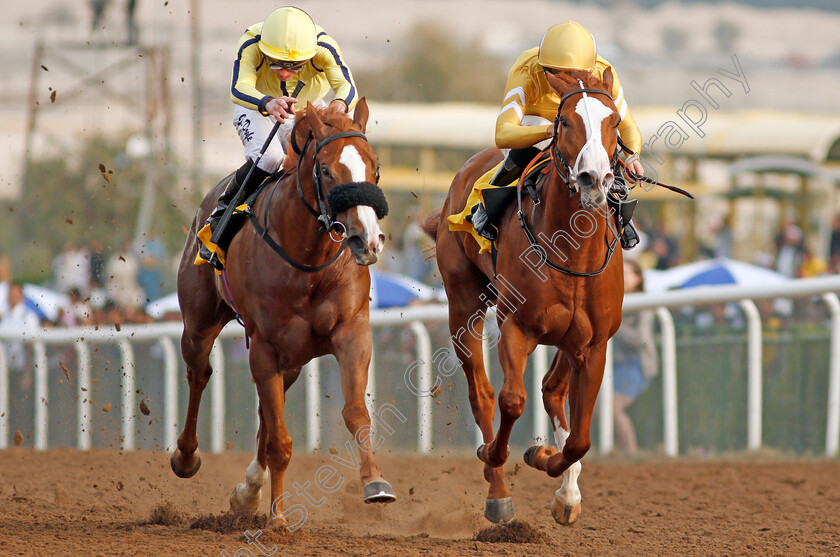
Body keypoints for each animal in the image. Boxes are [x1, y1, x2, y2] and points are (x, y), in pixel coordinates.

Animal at [171, 100, 398, 528]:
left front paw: (376, 483)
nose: (367, 240)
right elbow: (280, 440)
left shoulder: (351, 332)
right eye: (325, 170)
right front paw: (277, 518)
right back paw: (187, 456)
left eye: (375, 168)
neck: (308, 262)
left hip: (293, 359)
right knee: (199, 372)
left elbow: (356, 413)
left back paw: (248, 490)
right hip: (200, 322)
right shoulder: (265, 346)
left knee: (264, 408)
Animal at [420, 70, 624, 524]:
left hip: (569, 338)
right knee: (481, 390)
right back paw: (497, 490)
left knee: (552, 389)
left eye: (615, 122)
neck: (571, 251)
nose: (594, 179)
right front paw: (496, 456)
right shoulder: (515, 326)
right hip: (463, 304)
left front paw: (550, 467)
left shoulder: (594, 343)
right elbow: (511, 400)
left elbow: (580, 438)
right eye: (564, 121)